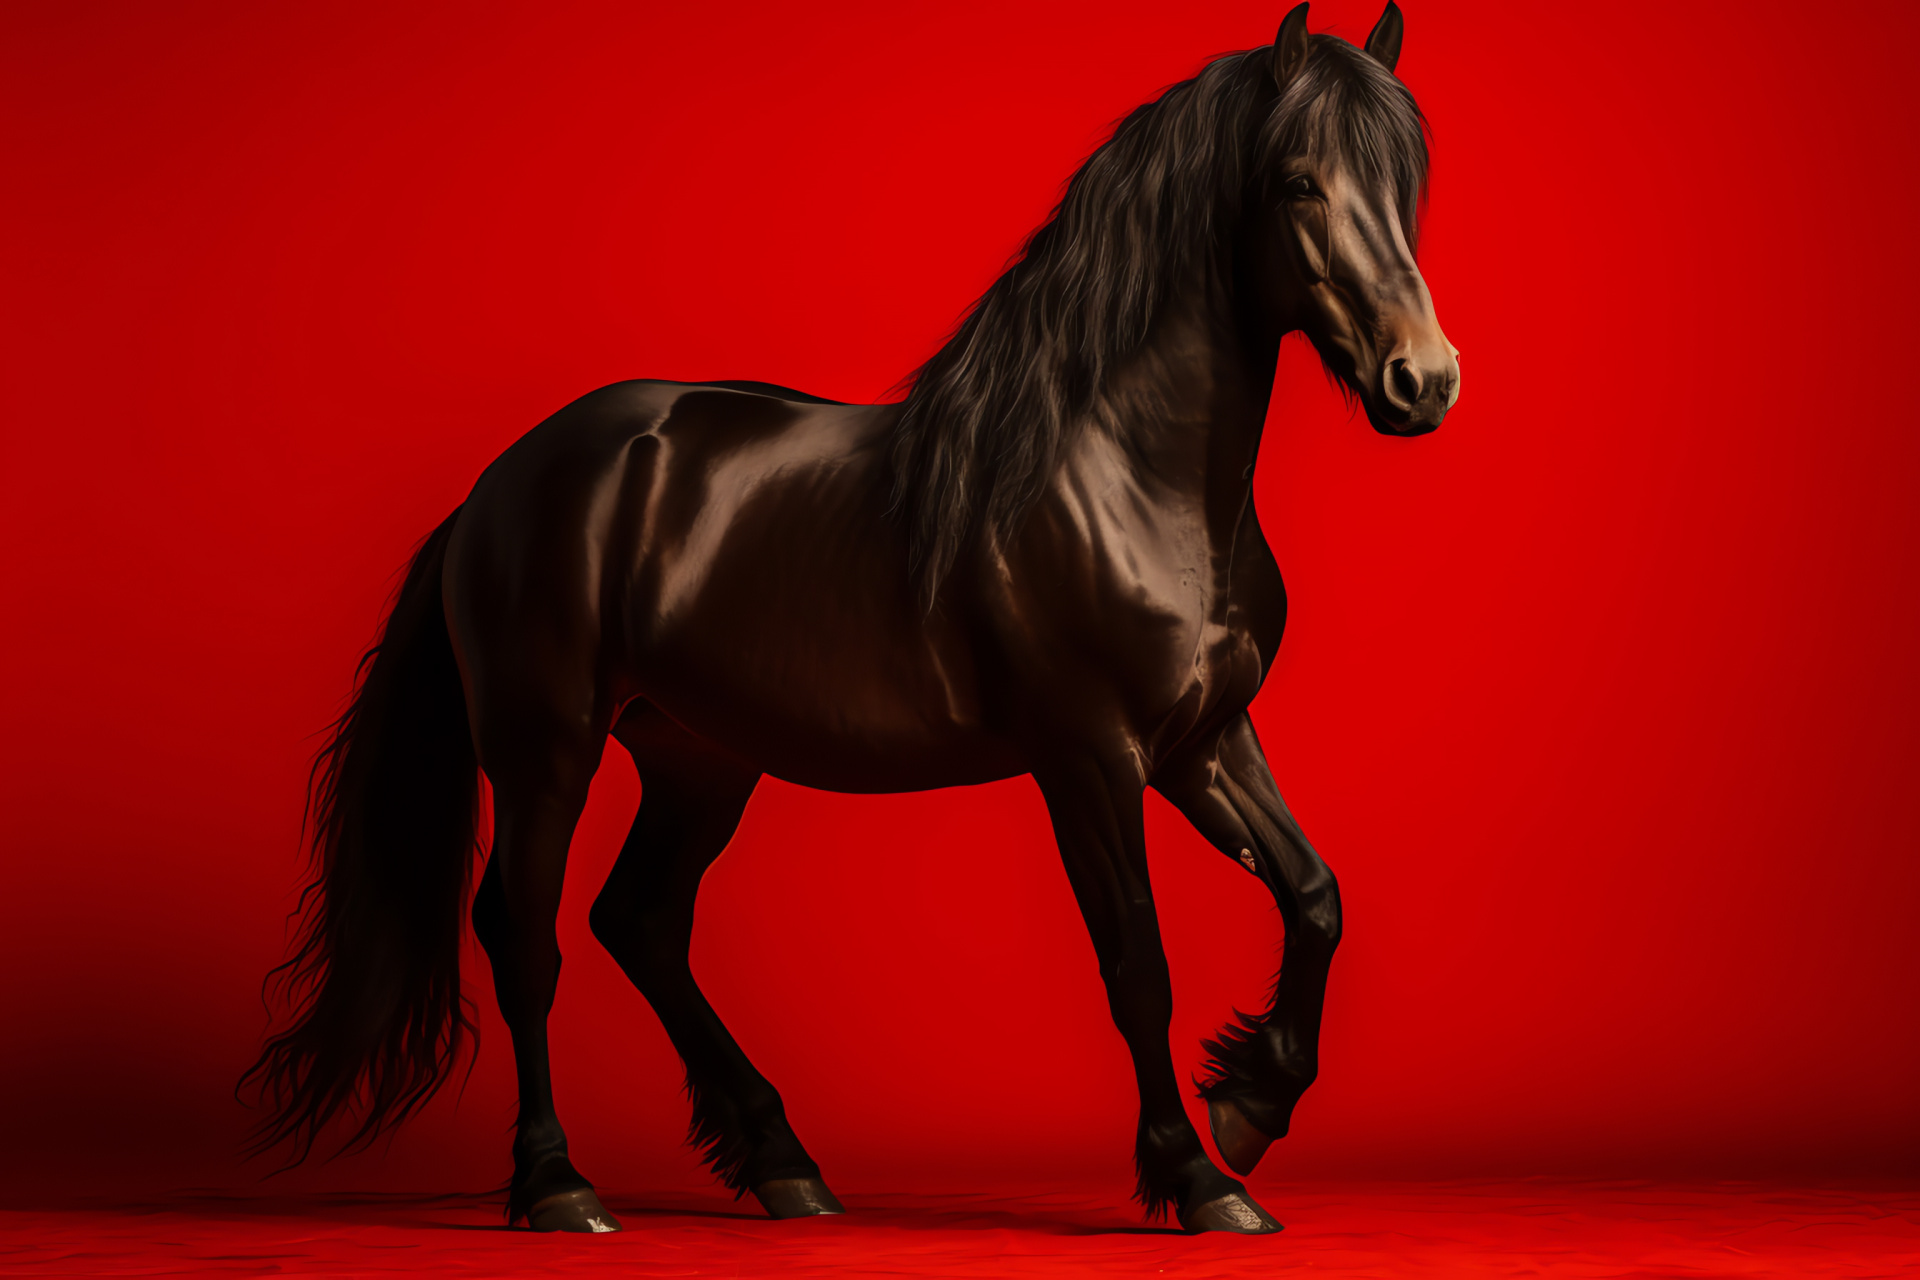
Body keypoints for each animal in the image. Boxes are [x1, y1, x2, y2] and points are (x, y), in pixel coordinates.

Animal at [247, 0, 1459, 1243]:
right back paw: (558, 1184)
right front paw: (1200, 1174)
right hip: (547, 749)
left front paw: (1251, 1103)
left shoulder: (1204, 742)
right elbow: (1137, 962)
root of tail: (503, 479)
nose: (1423, 381)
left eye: (1404, 184)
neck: (1127, 478)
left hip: (700, 756)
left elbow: (1315, 895)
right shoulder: (1089, 757)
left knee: (638, 918)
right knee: (523, 933)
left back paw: (784, 1161)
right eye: (1300, 182)